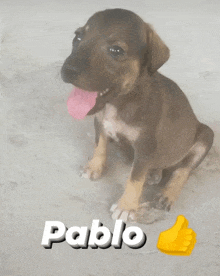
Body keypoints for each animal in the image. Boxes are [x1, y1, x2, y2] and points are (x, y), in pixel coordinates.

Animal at [61, 7, 214, 221]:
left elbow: (135, 178)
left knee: (183, 170)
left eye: (116, 50)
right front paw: (94, 167)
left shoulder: (145, 146)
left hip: (206, 136)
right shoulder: (100, 124)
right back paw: (154, 173)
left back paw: (167, 194)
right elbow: (99, 146)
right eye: (78, 37)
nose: (67, 70)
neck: (119, 102)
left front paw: (127, 206)